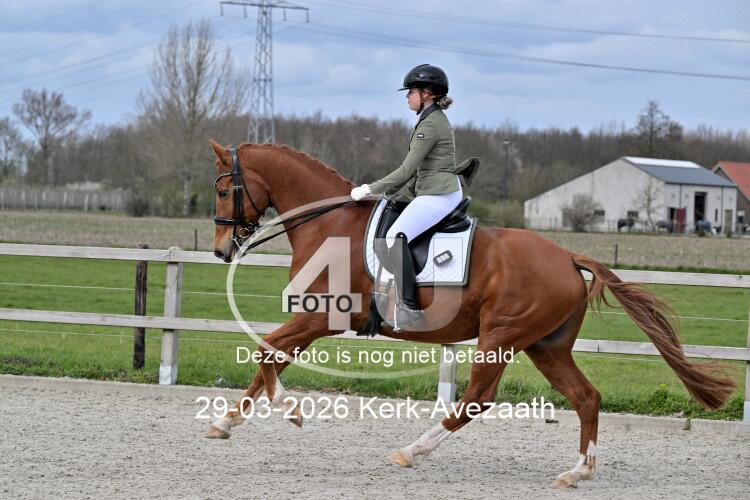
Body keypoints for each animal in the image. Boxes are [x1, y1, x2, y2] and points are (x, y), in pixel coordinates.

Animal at [205, 140, 736, 489]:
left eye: (223, 192)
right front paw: (225, 424)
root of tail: (567, 257)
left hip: (500, 337)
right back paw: (577, 471)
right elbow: (267, 358)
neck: (330, 224)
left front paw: (290, 412)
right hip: (546, 346)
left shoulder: (320, 318)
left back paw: (412, 451)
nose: (220, 251)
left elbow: (267, 354)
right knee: (586, 397)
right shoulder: (313, 320)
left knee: (477, 399)